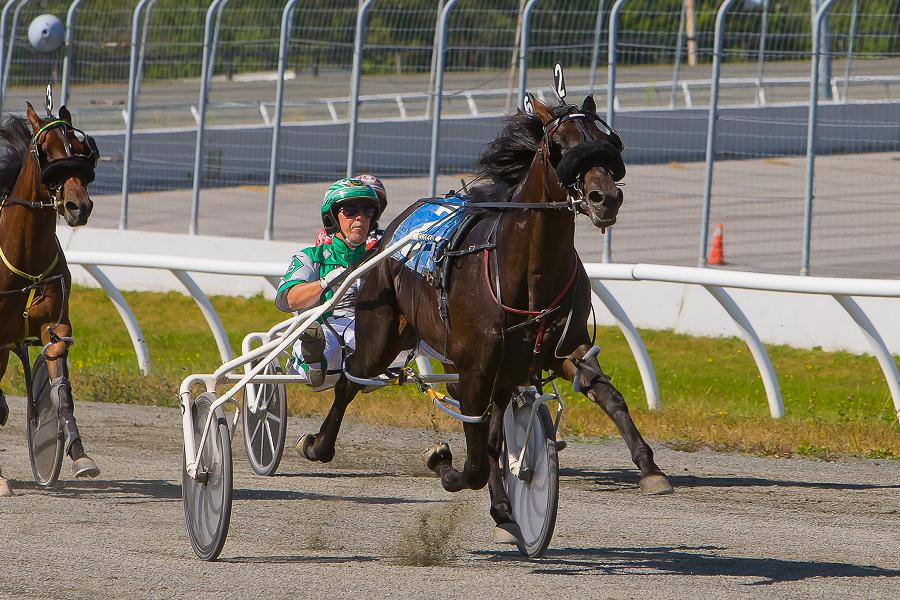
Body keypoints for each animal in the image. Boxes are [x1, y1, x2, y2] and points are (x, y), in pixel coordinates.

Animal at [0, 99, 101, 492]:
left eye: (80, 147)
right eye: (45, 150)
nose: (78, 206)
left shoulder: (55, 327)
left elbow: (61, 390)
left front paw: (78, 453)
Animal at [298, 95, 672, 536]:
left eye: (608, 140)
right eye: (559, 144)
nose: (605, 198)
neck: (527, 272)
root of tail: (394, 230)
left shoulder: (562, 350)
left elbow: (608, 396)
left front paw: (650, 469)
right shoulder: (475, 366)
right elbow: (474, 460)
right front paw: (442, 462)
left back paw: (504, 509)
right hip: (382, 332)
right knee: (349, 380)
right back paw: (318, 444)